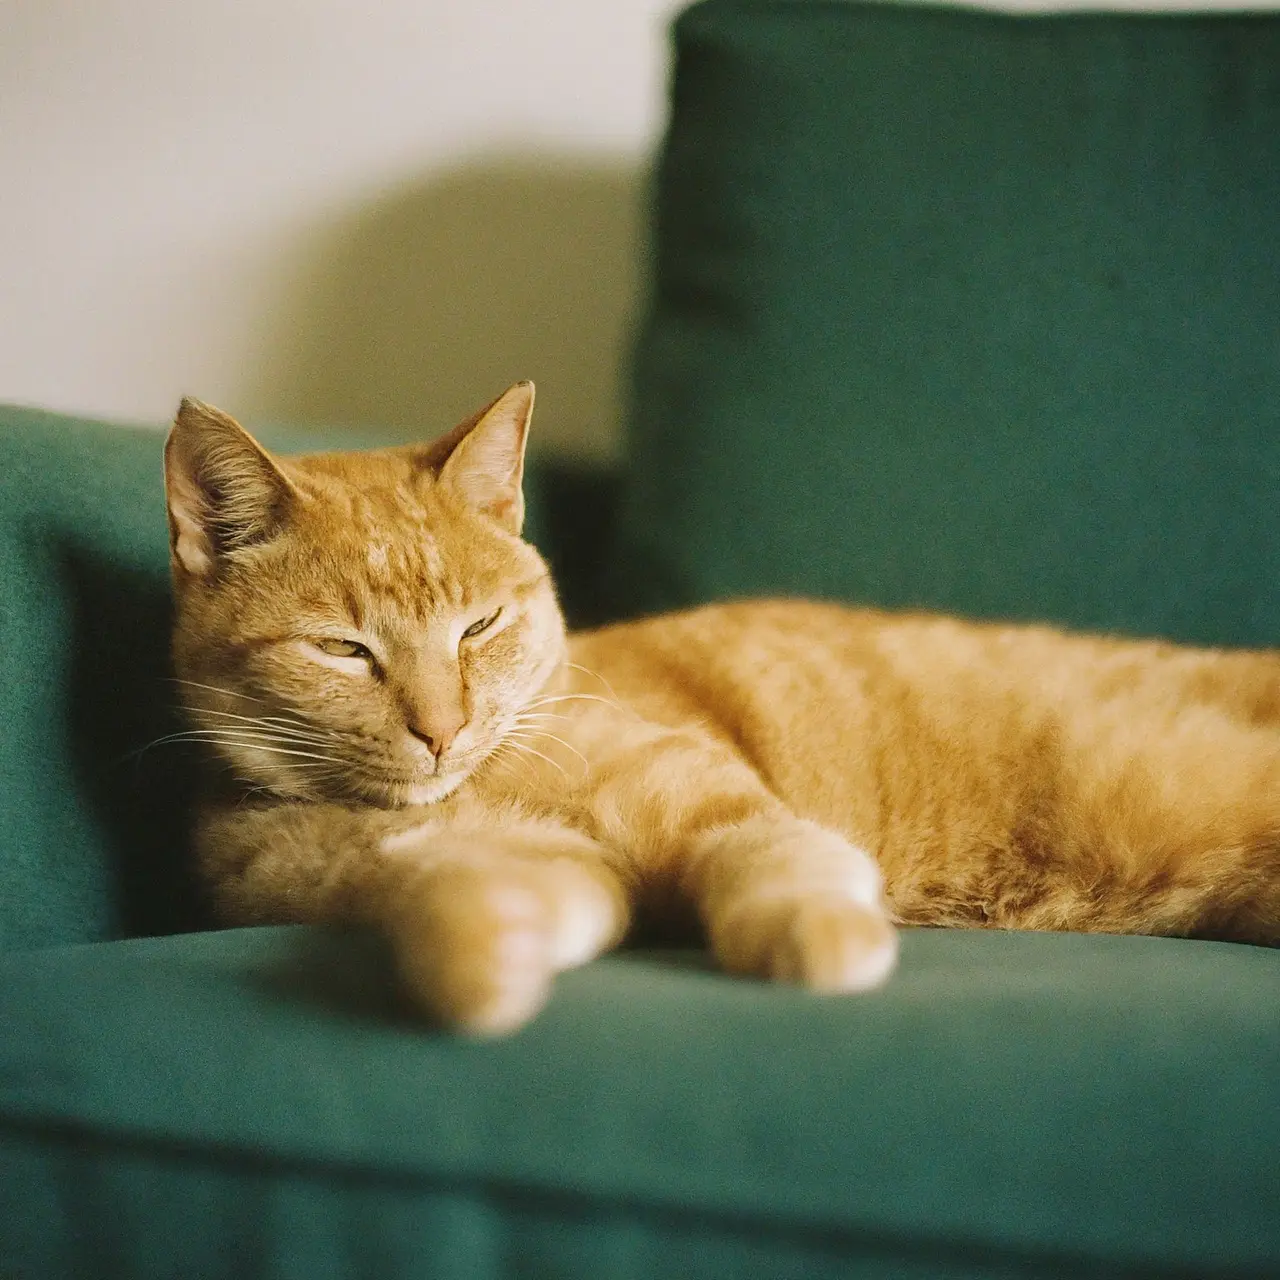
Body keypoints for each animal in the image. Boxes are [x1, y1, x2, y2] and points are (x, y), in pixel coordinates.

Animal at [165, 378, 1280, 1029]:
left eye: (479, 628)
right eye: (343, 650)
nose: (442, 729)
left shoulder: (702, 793)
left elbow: (774, 855)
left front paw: (820, 935)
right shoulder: (531, 867)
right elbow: (473, 900)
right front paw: (486, 965)